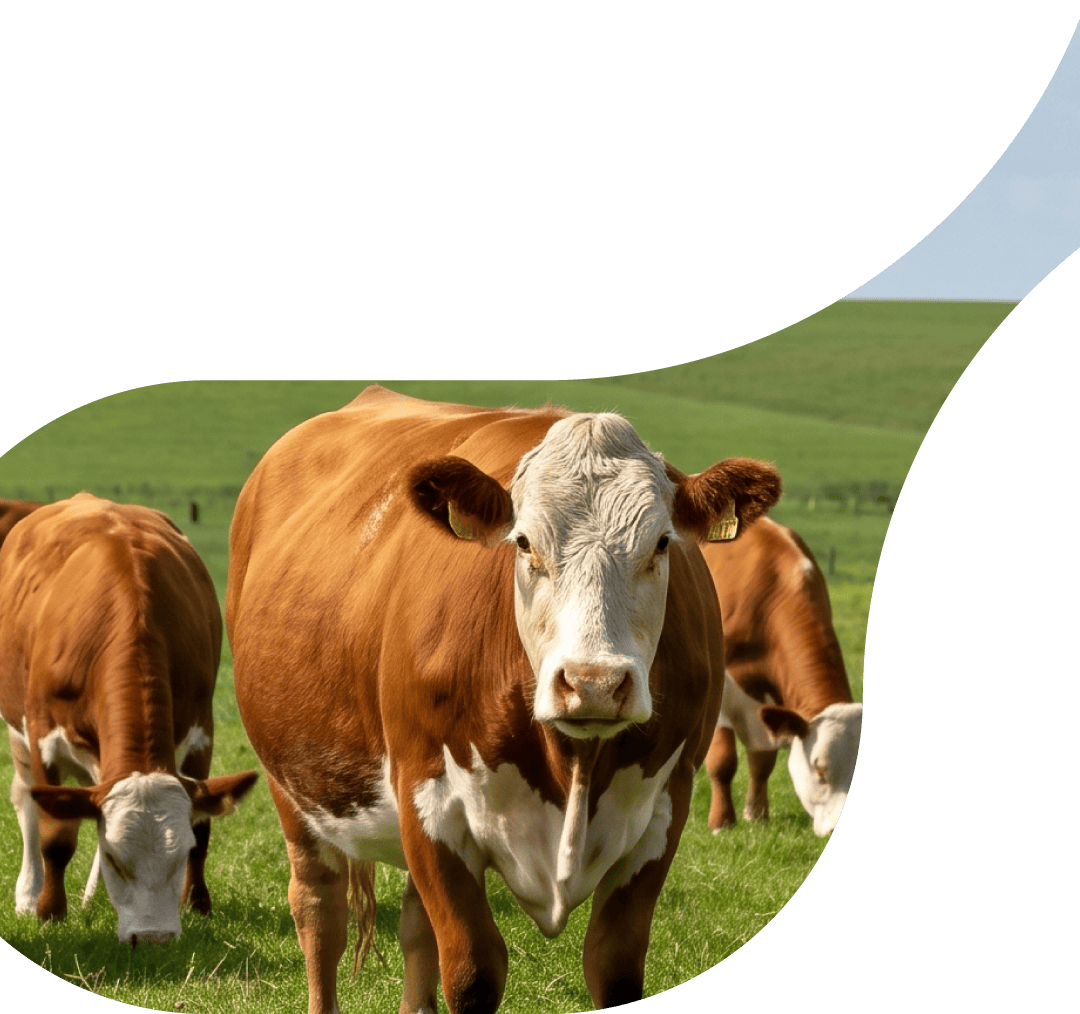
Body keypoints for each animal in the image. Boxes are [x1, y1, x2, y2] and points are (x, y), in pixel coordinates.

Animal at [0, 492, 258, 945]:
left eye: (182, 854)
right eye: (113, 857)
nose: (153, 938)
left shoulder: (201, 732)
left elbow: (204, 828)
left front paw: (198, 905)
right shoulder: (44, 737)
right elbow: (55, 837)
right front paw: (50, 912)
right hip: (19, 732)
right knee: (27, 804)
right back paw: (29, 894)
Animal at [226, 385, 782, 1014]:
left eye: (662, 544)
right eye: (524, 543)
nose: (592, 682)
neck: (573, 766)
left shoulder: (665, 809)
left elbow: (613, 966)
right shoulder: (427, 800)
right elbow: (472, 971)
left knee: (415, 927)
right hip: (292, 782)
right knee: (321, 911)